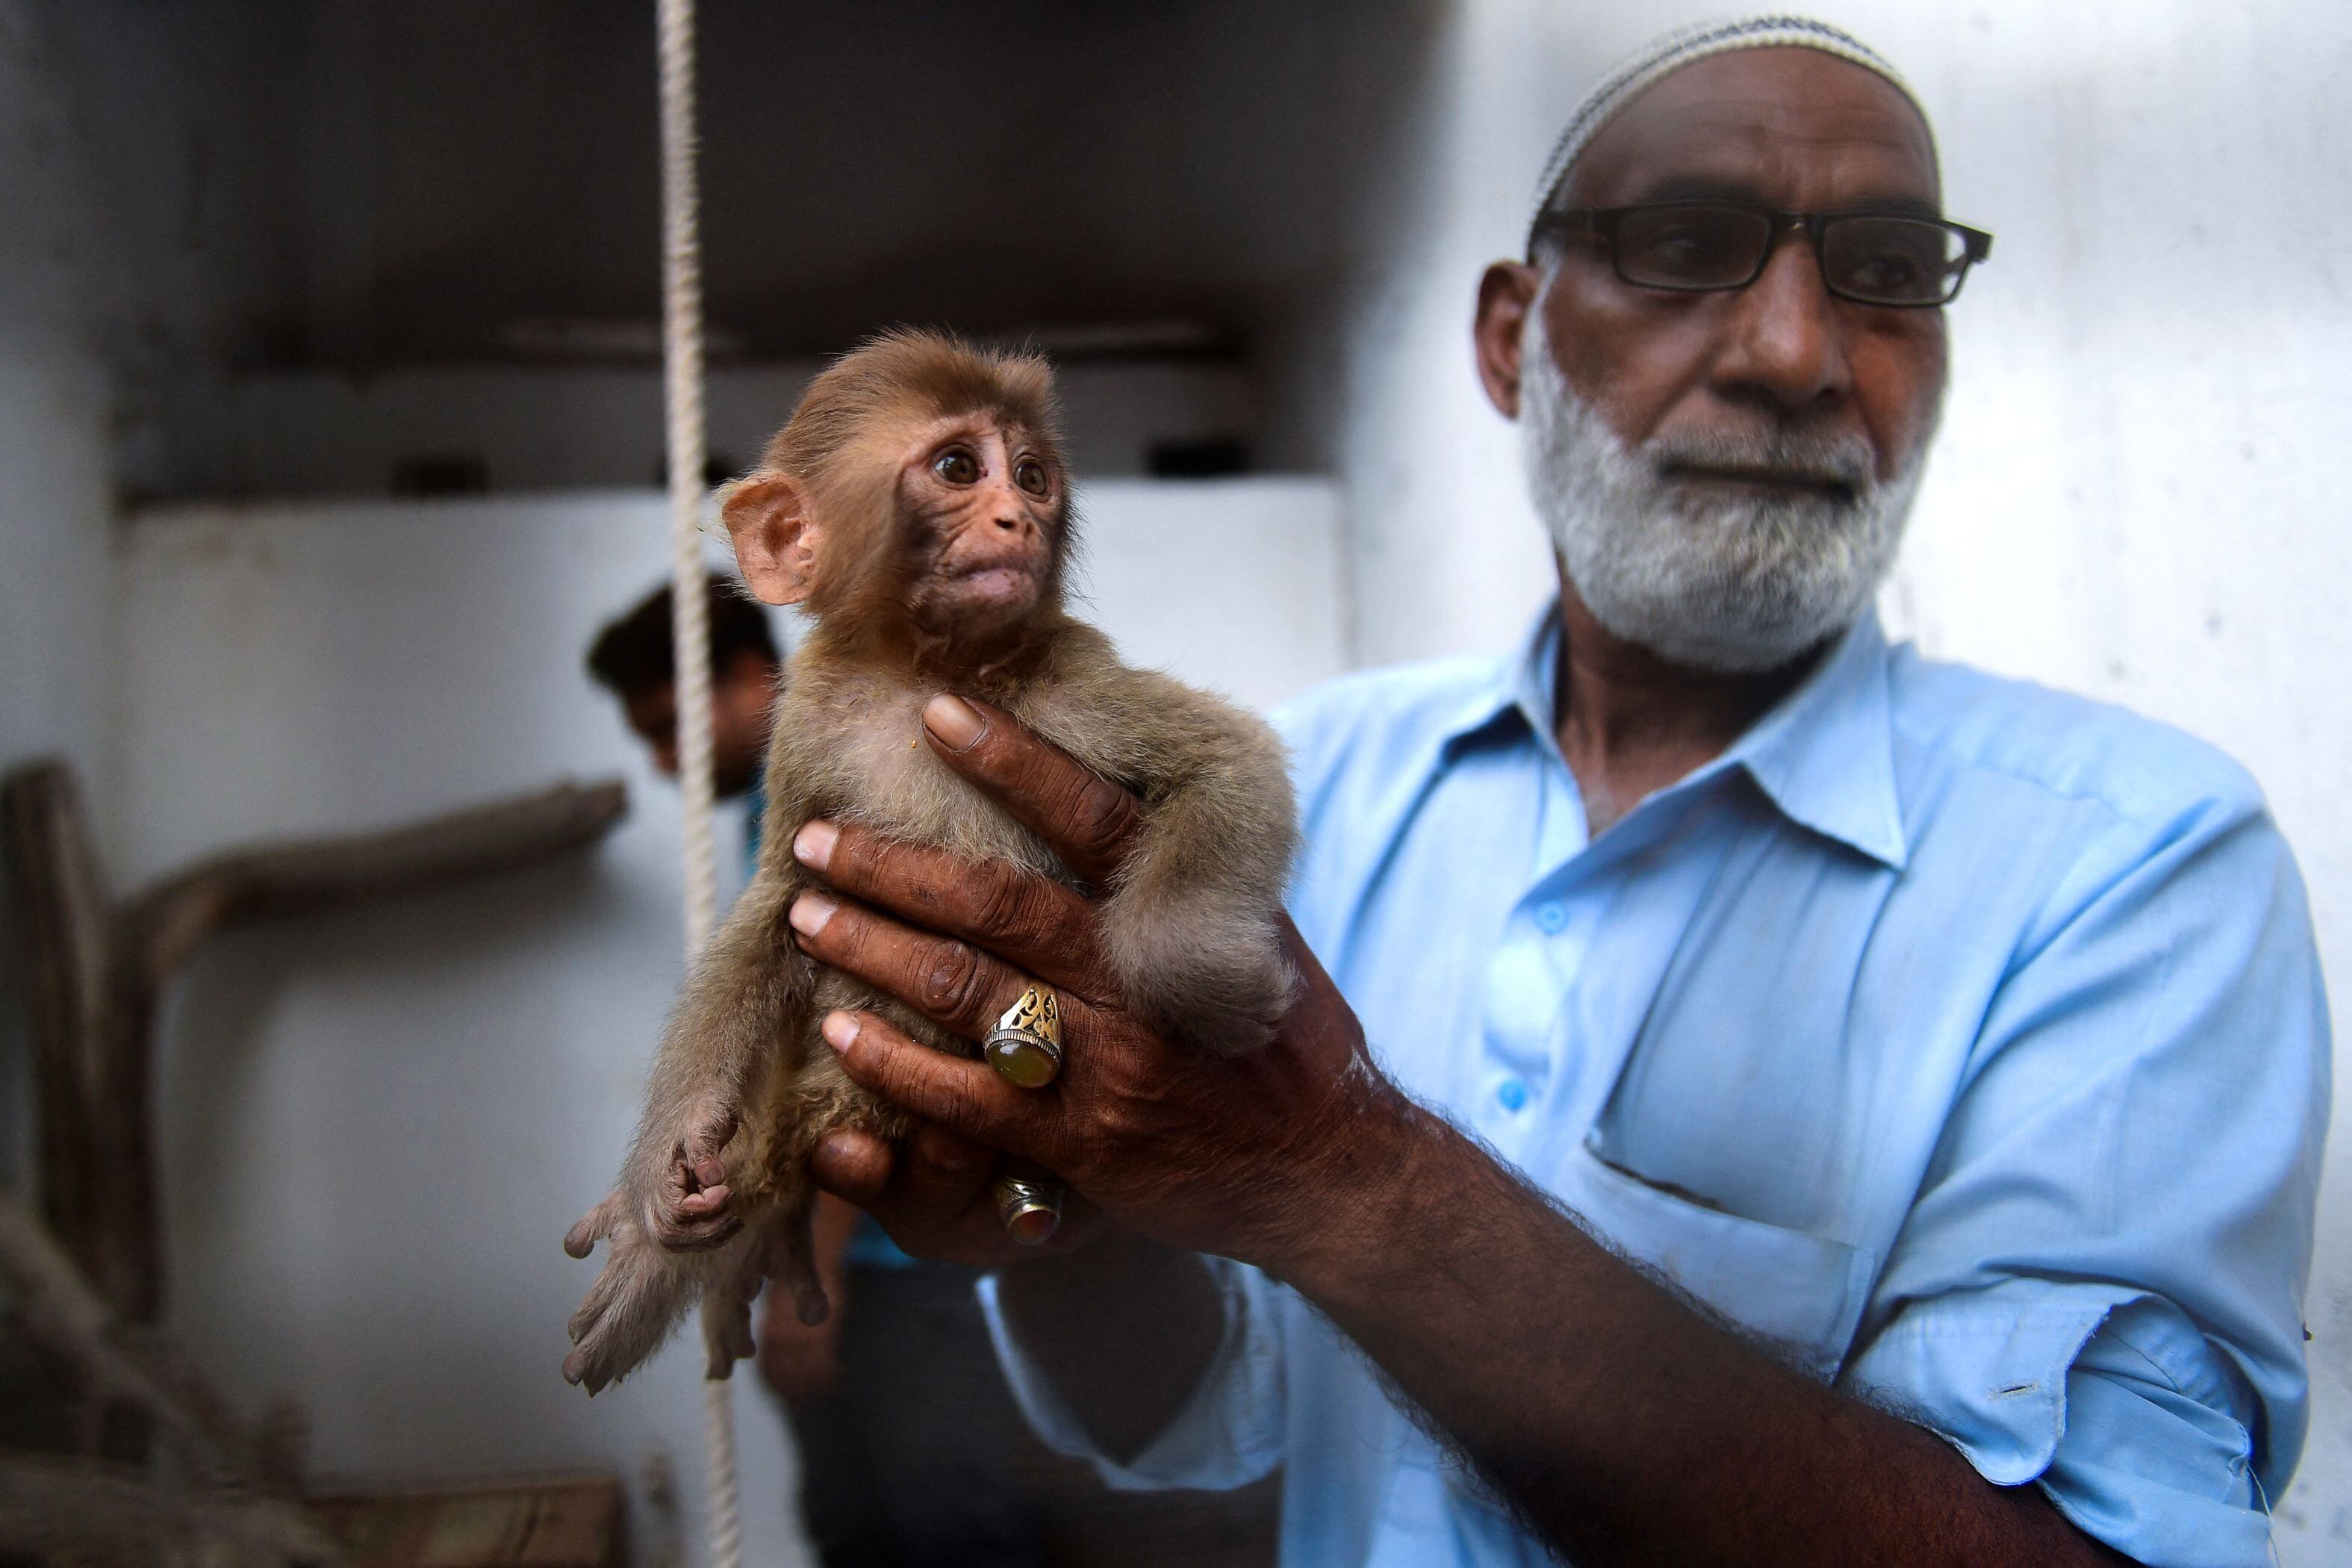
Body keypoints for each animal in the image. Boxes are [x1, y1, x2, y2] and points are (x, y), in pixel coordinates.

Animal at [560, 328, 1299, 1394]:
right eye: (958, 469)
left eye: (1030, 476)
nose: (1016, 516)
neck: (925, 672)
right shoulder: (809, 728)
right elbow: (777, 910)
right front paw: (673, 1151)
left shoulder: (1068, 677)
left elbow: (1230, 762)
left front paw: (1219, 993)